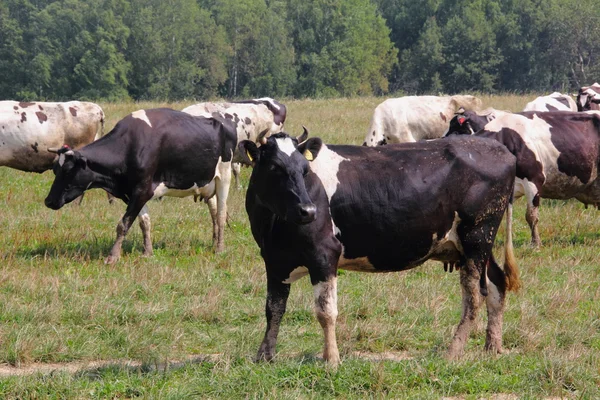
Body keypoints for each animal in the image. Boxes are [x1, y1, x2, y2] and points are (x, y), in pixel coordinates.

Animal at [44, 108, 237, 264]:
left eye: (68, 170)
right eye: (55, 169)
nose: (49, 201)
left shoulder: (142, 190)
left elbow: (123, 224)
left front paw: (113, 256)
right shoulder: (133, 193)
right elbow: (144, 223)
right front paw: (147, 252)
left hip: (224, 177)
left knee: (220, 214)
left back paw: (219, 248)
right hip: (207, 184)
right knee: (214, 212)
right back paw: (214, 242)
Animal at [239, 133, 520, 368]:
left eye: (305, 170)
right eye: (275, 168)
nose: (308, 211)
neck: (274, 224)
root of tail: (498, 147)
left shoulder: (324, 255)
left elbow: (325, 311)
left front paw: (332, 359)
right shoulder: (274, 260)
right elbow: (273, 308)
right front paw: (264, 356)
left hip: (477, 236)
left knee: (474, 297)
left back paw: (453, 351)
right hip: (479, 244)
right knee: (497, 284)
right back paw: (493, 346)